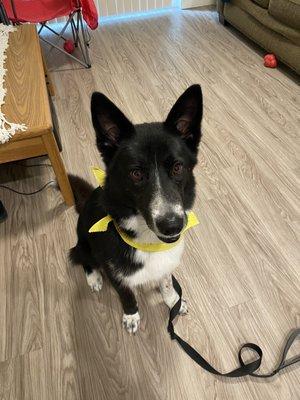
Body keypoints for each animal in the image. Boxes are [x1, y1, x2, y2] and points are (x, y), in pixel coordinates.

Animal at [69, 85, 203, 334]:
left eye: (178, 167)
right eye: (136, 173)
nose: (172, 225)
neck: (147, 240)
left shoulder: (166, 265)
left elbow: (166, 282)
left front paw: (173, 302)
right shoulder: (116, 274)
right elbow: (126, 295)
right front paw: (131, 316)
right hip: (84, 243)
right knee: (82, 257)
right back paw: (93, 278)